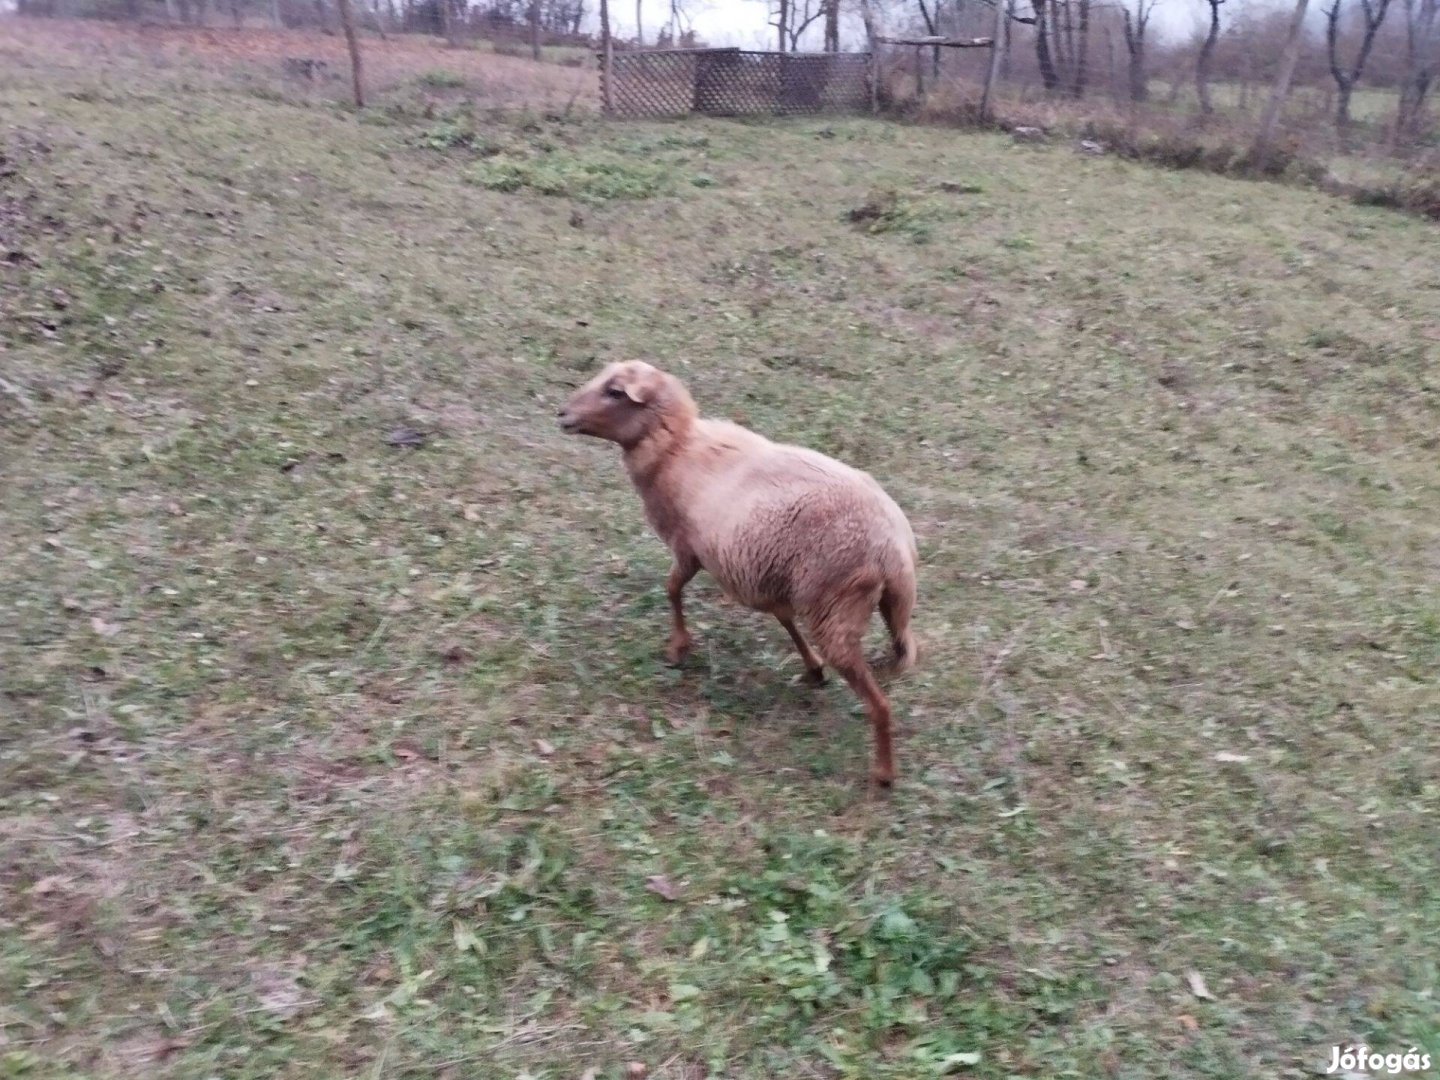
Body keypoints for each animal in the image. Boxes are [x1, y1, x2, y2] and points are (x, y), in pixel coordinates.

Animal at [555, 364, 915, 789]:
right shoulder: (770, 572)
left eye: (614, 392)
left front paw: (678, 647)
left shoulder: (689, 548)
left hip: (834, 607)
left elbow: (671, 588)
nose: (562, 414)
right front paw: (812, 668)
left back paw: (884, 773)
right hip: (886, 606)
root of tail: (892, 549)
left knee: (880, 703)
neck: (676, 448)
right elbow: (782, 617)